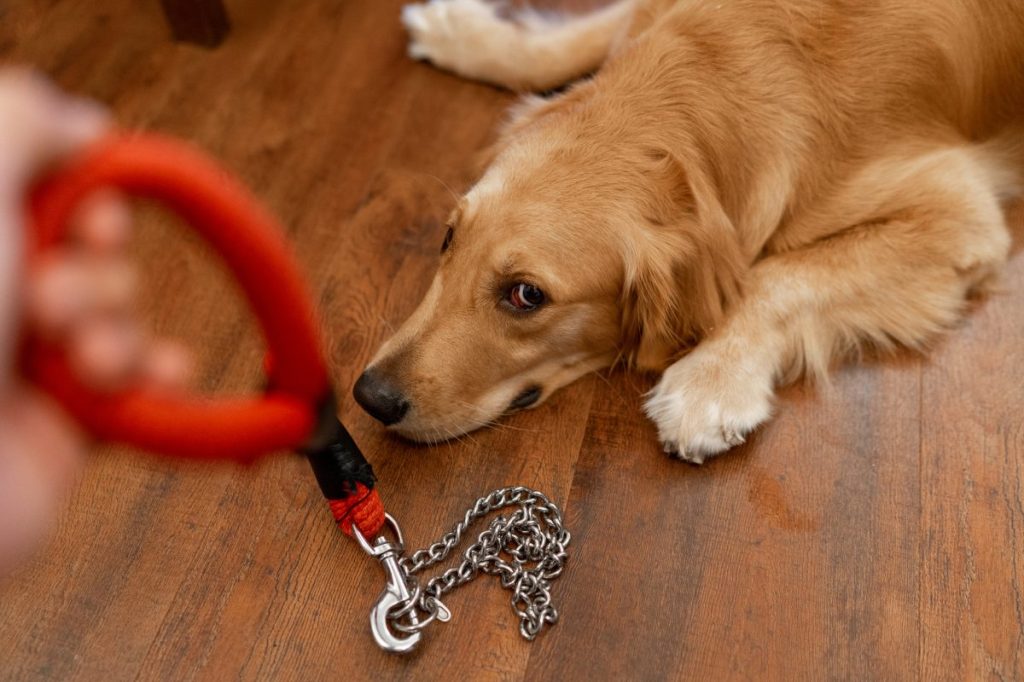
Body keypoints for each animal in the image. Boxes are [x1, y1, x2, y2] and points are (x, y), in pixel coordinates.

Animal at [352, 0, 1024, 462]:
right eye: (447, 239)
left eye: (526, 295)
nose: (369, 397)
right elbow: (581, 38)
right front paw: (466, 36)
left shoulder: (958, 210)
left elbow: (775, 275)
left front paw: (711, 381)